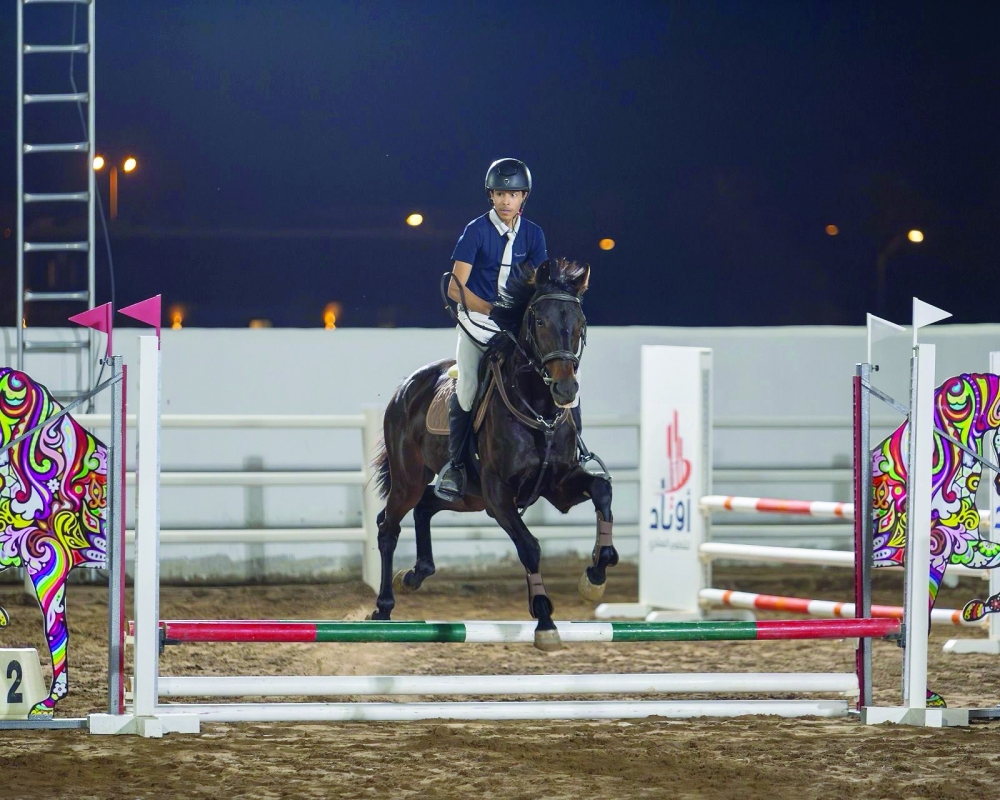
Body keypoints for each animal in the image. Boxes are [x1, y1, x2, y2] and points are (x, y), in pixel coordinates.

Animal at [369, 258, 617, 650]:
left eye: (580, 324)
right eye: (540, 321)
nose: (565, 389)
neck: (539, 410)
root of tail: (405, 388)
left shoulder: (558, 486)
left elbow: (602, 490)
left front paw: (595, 576)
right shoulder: (499, 494)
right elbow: (529, 547)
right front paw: (544, 619)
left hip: (469, 497)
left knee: (425, 506)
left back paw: (416, 574)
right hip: (411, 479)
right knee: (388, 525)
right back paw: (383, 605)